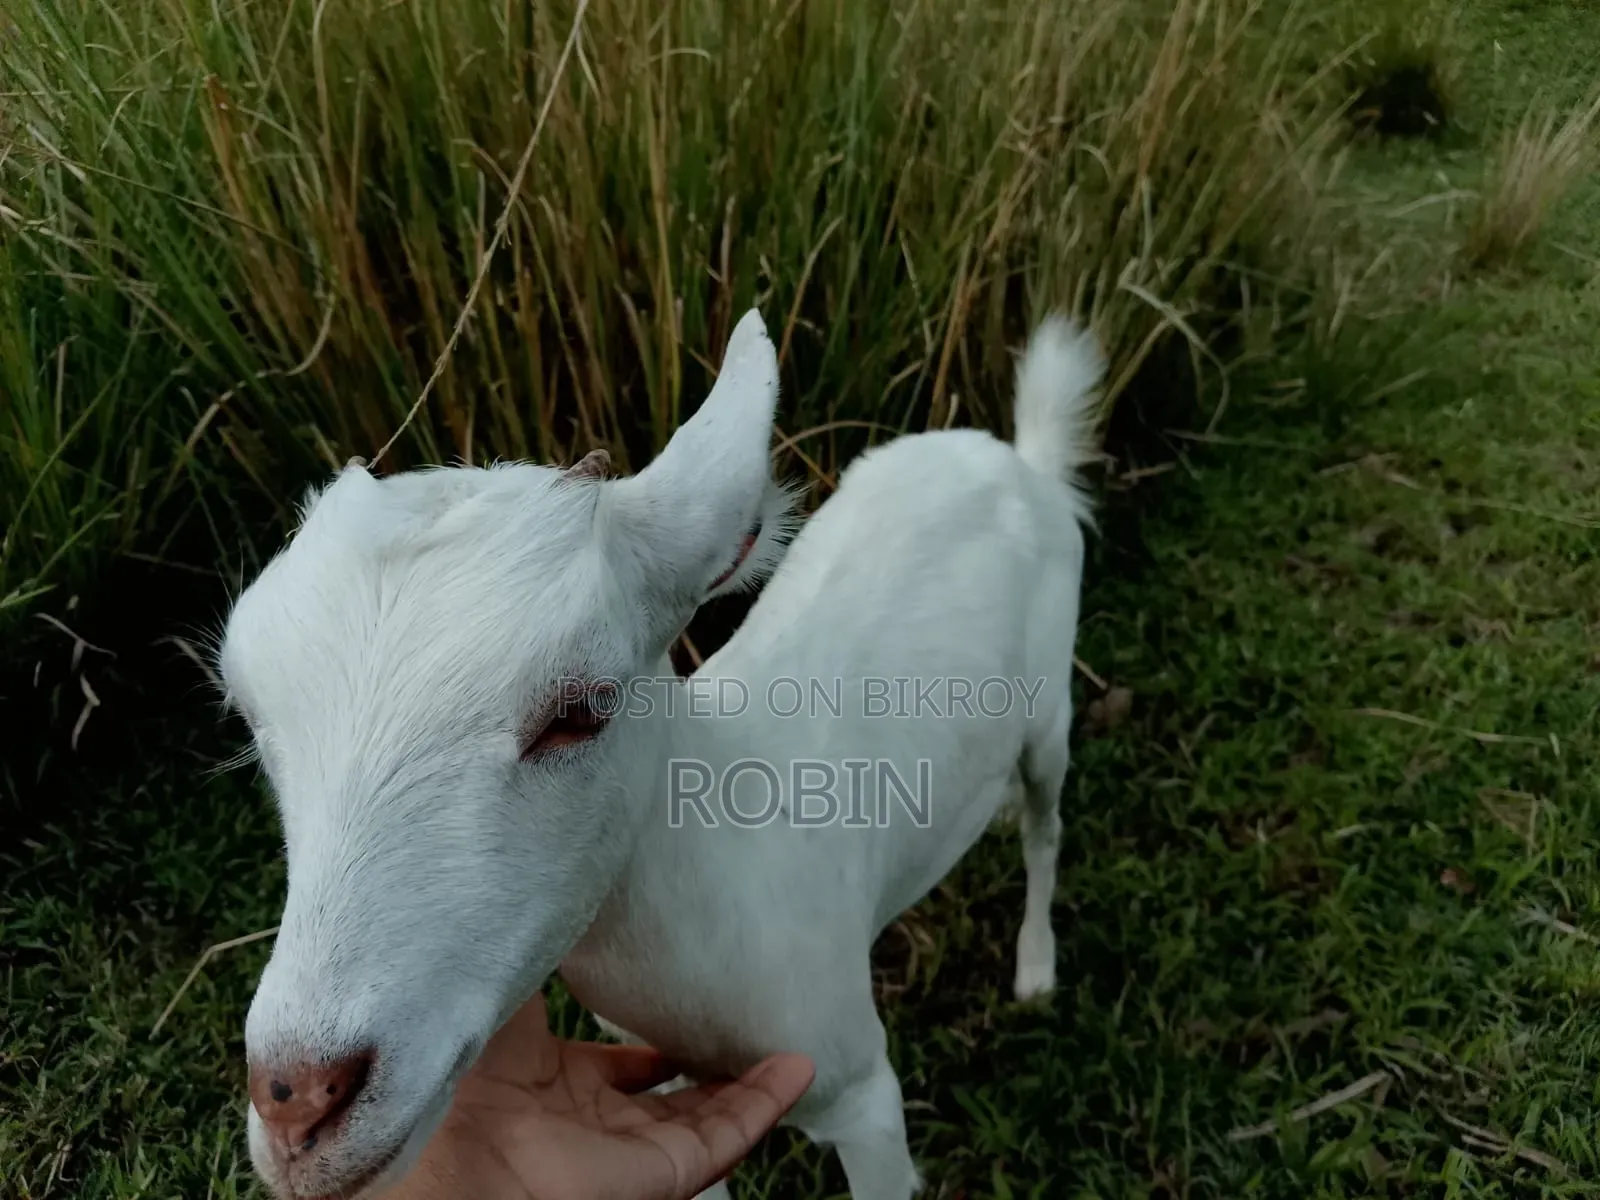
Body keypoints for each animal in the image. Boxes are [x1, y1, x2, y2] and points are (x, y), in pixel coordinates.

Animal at [218, 307, 1102, 1200]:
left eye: (583, 709)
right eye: (249, 717)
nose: (298, 1101)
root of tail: (1017, 459)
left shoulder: (860, 1087)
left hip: (1051, 709)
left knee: (1048, 823)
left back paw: (1035, 966)